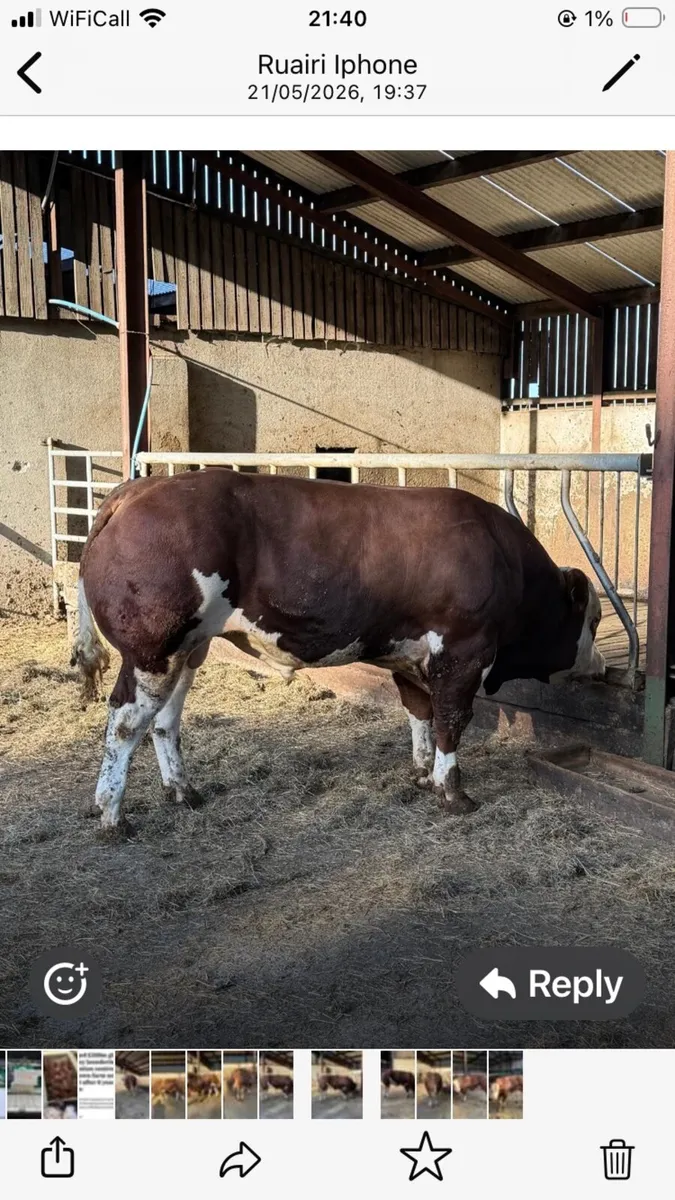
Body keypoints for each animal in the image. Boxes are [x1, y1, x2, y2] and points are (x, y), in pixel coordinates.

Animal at [71, 470, 606, 833]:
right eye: (594, 621)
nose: (600, 667)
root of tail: (137, 489)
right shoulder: (463, 652)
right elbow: (451, 722)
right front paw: (453, 793)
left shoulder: (409, 655)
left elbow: (420, 713)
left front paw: (422, 775)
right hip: (151, 650)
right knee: (125, 722)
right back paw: (111, 814)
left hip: (187, 649)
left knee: (164, 720)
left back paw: (183, 791)